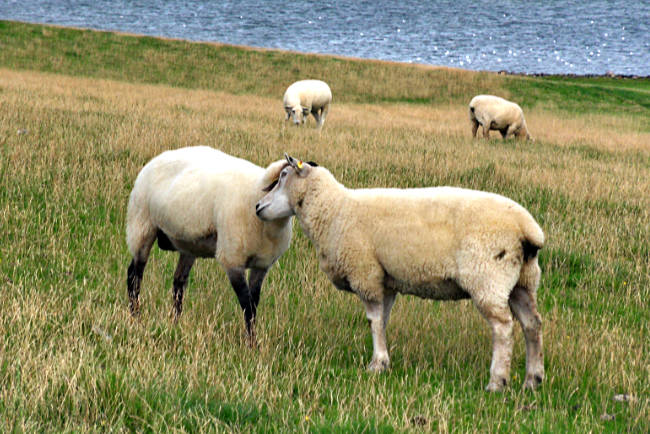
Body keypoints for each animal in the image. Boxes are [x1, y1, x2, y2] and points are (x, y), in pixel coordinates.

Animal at [126, 146, 292, 345]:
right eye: (282, 178)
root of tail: (156, 159)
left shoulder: (261, 265)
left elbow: (253, 303)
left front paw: (252, 340)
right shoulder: (232, 259)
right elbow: (246, 304)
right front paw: (252, 344)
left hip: (188, 244)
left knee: (178, 282)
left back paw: (175, 324)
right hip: (142, 225)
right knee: (134, 275)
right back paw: (136, 317)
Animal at [255, 155, 545, 391]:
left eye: (284, 176)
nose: (258, 206)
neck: (335, 210)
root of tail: (527, 229)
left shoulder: (365, 273)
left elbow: (373, 320)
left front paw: (377, 364)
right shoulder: (385, 281)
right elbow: (382, 321)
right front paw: (382, 360)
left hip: (487, 277)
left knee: (503, 328)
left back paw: (497, 381)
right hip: (523, 282)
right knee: (532, 324)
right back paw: (532, 380)